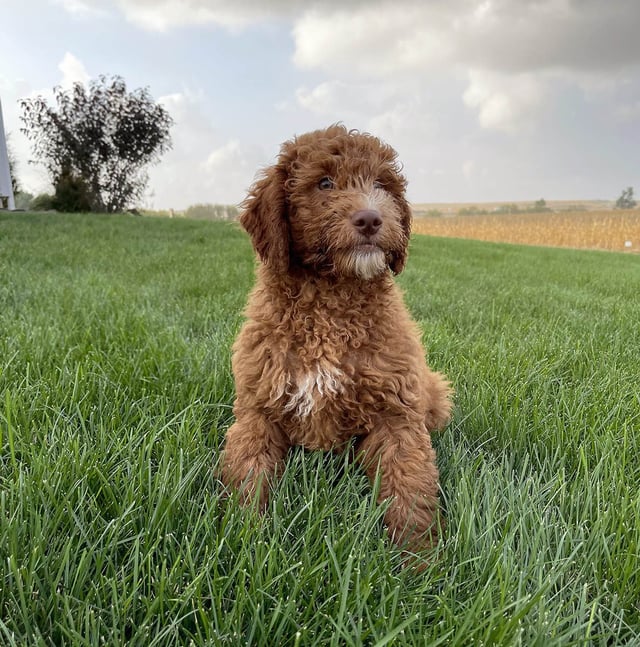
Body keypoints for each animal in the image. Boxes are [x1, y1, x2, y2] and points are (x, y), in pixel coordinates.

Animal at [222, 124, 452, 556]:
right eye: (324, 183)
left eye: (381, 184)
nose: (371, 218)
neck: (331, 302)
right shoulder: (258, 407)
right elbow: (248, 469)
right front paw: (243, 538)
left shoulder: (397, 413)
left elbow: (409, 485)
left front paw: (419, 559)